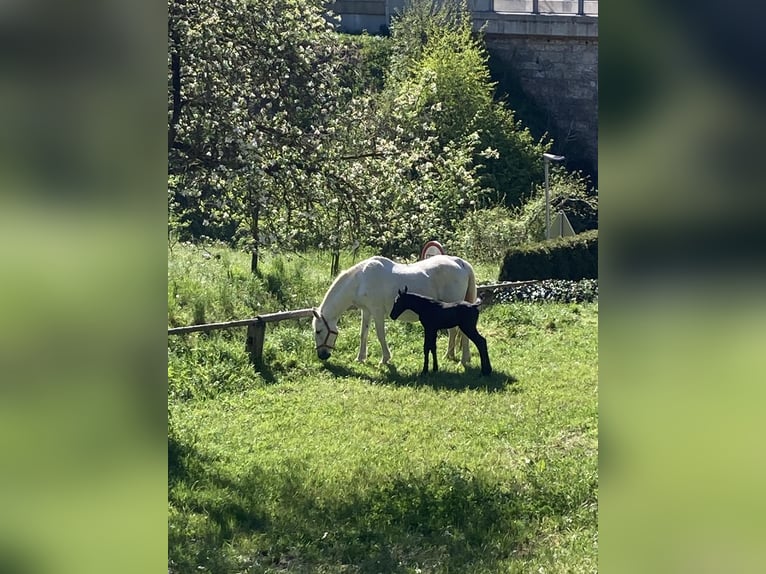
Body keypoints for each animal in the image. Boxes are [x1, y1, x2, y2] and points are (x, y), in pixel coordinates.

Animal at [310, 255, 476, 364]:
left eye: (318, 331)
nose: (322, 356)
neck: (361, 280)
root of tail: (460, 263)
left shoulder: (377, 312)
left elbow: (380, 335)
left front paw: (385, 359)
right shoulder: (367, 311)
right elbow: (363, 334)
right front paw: (360, 358)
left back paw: (463, 360)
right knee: (453, 331)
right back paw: (449, 355)